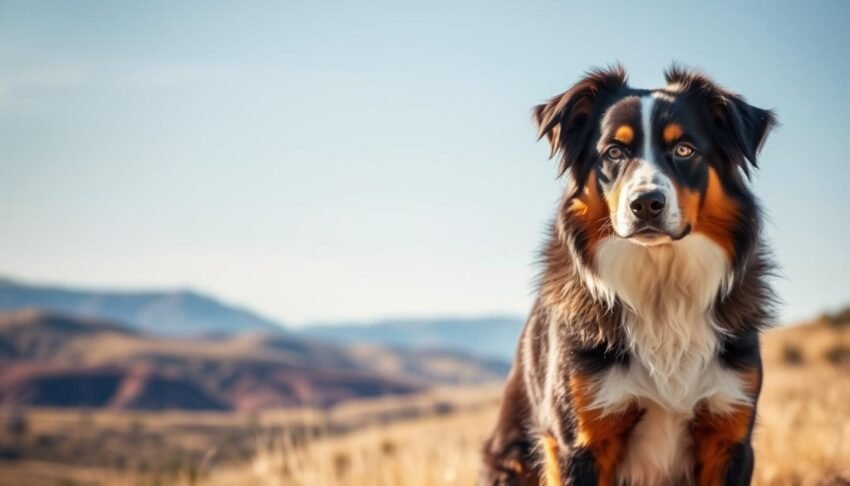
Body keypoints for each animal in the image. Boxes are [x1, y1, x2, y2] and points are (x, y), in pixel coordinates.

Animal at [476, 65, 776, 486]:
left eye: (684, 149)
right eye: (614, 152)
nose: (646, 203)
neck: (662, 283)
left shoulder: (728, 431)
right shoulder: (580, 440)